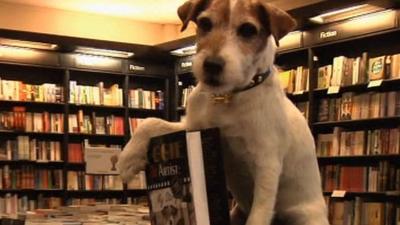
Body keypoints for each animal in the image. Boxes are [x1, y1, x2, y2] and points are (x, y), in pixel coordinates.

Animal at [117, 0, 330, 225]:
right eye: (204, 23)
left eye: (248, 30)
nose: (211, 65)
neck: (227, 97)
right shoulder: (192, 128)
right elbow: (151, 122)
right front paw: (128, 159)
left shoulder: (267, 164)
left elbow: (259, 213)